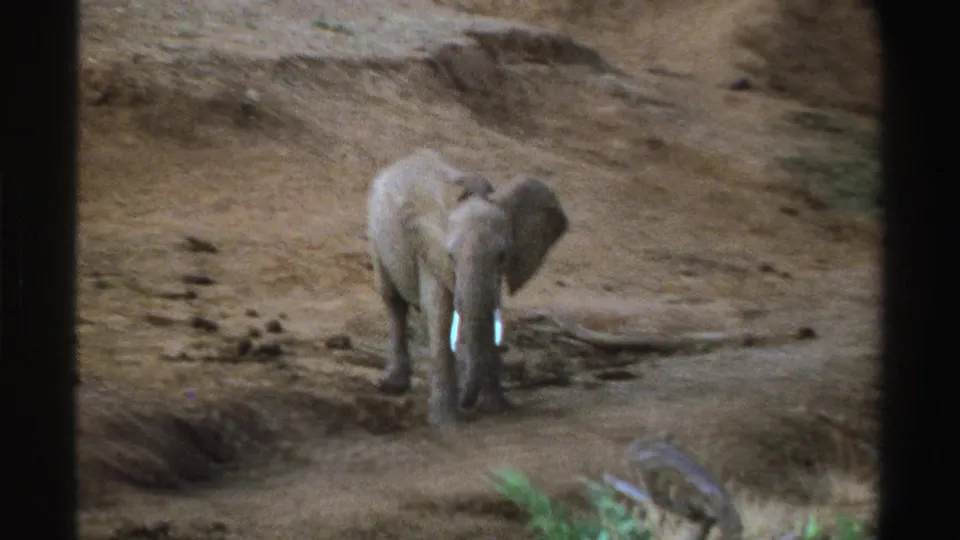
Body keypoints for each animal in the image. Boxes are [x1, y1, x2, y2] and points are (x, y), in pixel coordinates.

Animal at [366, 148, 569, 427]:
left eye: (503, 256)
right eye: (451, 256)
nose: (466, 401)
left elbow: (488, 310)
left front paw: (496, 409)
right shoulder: (428, 248)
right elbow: (439, 313)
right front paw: (445, 421)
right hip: (376, 236)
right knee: (393, 300)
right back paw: (391, 386)